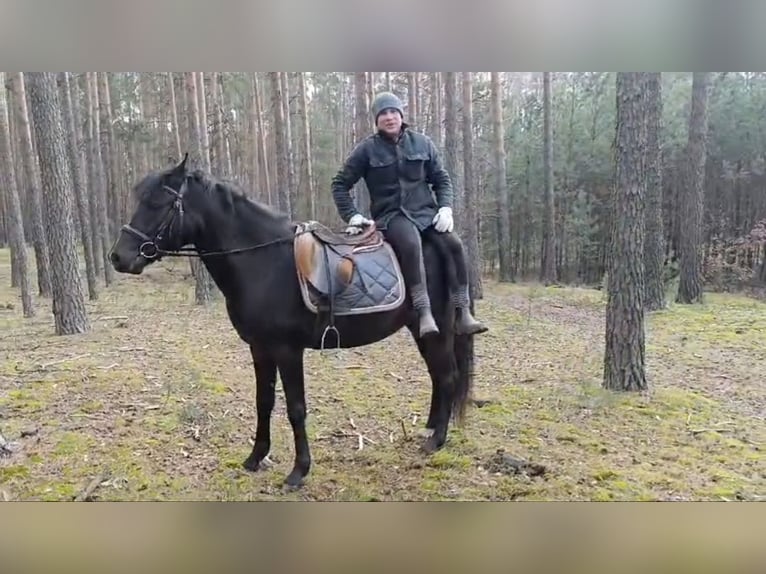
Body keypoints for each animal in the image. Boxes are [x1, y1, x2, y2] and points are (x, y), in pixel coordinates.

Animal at [111, 158, 476, 490]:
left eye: (157, 203)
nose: (118, 257)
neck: (264, 262)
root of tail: (433, 239)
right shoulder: (259, 348)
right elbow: (264, 402)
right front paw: (256, 457)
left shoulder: (287, 350)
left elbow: (295, 409)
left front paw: (298, 472)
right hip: (421, 331)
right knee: (437, 376)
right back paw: (430, 429)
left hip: (437, 329)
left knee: (447, 376)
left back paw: (435, 441)